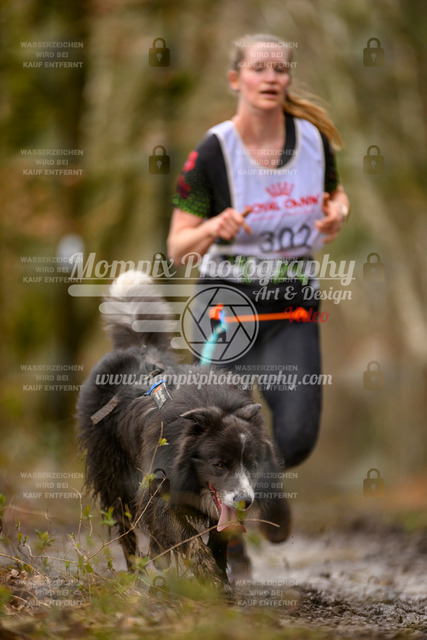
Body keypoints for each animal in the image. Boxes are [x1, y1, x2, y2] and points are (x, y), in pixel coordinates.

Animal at [77, 271, 290, 587]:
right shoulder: (161, 484)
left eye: (252, 464)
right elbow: (186, 538)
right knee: (127, 530)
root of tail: (136, 347)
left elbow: (216, 539)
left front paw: (220, 581)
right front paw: (208, 576)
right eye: (219, 464)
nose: (245, 502)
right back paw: (137, 577)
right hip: (113, 477)